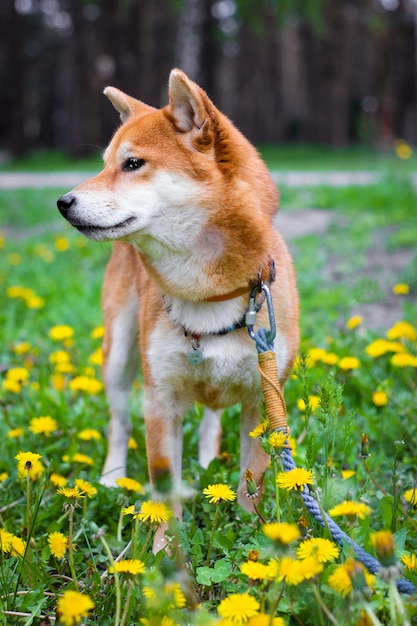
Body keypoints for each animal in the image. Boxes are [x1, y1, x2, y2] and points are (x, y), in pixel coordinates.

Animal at [57, 67, 298, 544]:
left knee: (210, 419)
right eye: (105, 164)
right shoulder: (160, 401)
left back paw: (206, 459)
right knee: (118, 422)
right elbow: (164, 491)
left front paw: (252, 534)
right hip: (119, 354)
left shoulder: (264, 399)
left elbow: (252, 481)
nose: (63, 202)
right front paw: (164, 549)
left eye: (133, 164)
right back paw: (111, 477)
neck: (211, 295)